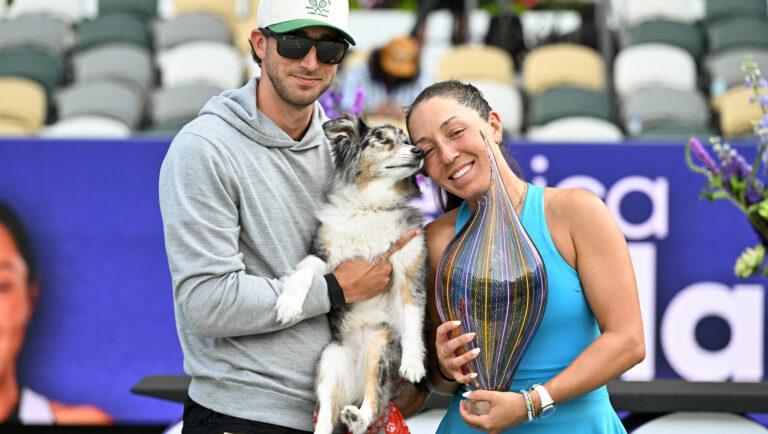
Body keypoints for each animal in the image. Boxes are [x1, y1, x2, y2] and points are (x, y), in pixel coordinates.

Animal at [274, 113, 428, 434]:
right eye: (383, 140)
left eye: (407, 139)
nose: (420, 152)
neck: (371, 207)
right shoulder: (324, 254)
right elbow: (303, 275)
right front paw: (289, 304)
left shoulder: (410, 267)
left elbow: (411, 319)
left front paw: (413, 363)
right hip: (329, 364)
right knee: (326, 415)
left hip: (379, 347)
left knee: (373, 400)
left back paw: (359, 415)